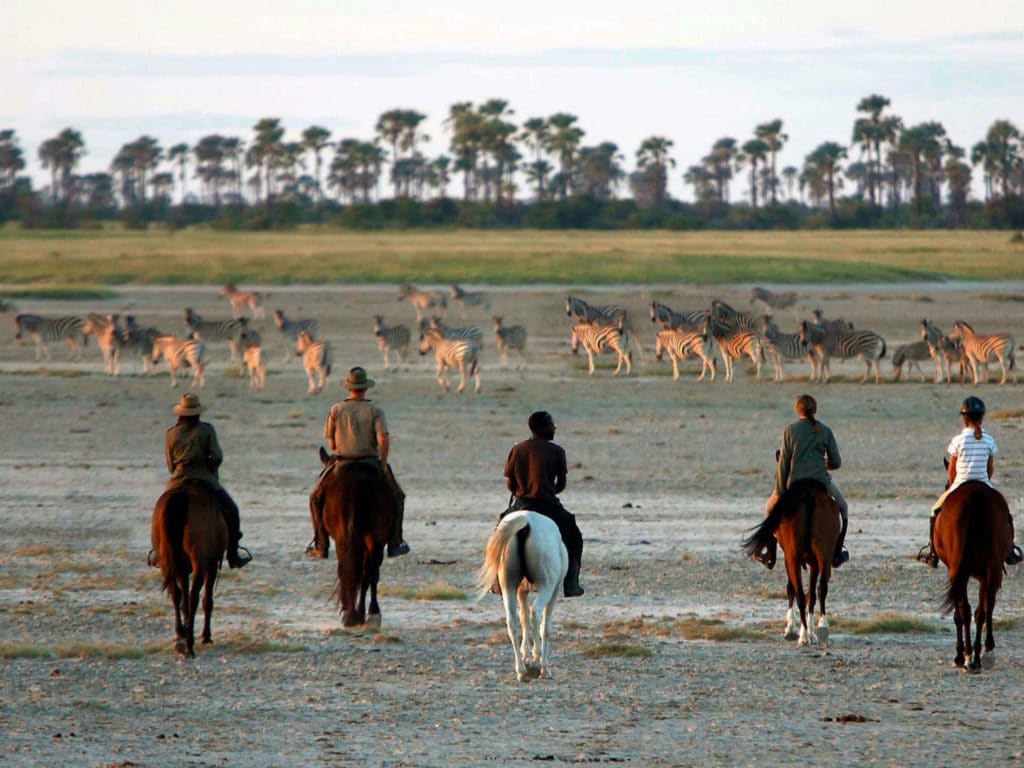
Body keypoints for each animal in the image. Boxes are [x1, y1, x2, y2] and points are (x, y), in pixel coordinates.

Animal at [150, 482, 227, 658]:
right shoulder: (211, 564)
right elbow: (207, 599)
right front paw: (206, 636)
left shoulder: (182, 569)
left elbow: (183, 598)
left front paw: (185, 631)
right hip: (200, 563)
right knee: (194, 597)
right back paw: (189, 644)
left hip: (167, 562)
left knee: (176, 594)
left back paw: (180, 637)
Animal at [319, 452, 395, 628]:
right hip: (375, 537)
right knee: (369, 571)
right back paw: (370, 613)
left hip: (347, 537)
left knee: (347, 568)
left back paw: (352, 613)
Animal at [476, 511, 568, 682]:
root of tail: (526, 521)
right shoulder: (555, 591)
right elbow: (545, 627)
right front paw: (538, 662)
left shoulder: (521, 592)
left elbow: (523, 618)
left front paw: (525, 655)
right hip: (547, 587)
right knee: (536, 614)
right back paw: (540, 664)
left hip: (509, 587)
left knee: (512, 622)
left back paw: (521, 671)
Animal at [741, 479, 841, 646]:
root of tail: (809, 494)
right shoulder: (813, 562)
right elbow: (811, 594)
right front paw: (810, 632)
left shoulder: (789, 559)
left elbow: (791, 589)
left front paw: (791, 629)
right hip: (824, 556)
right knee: (821, 589)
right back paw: (821, 628)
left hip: (793, 558)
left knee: (800, 593)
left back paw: (804, 636)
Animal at [933, 481, 1013, 672]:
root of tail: (975, 496)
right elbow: (981, 609)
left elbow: (960, 613)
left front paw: (959, 655)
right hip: (991, 568)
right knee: (983, 608)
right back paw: (981, 655)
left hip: (962, 571)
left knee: (967, 611)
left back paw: (968, 656)